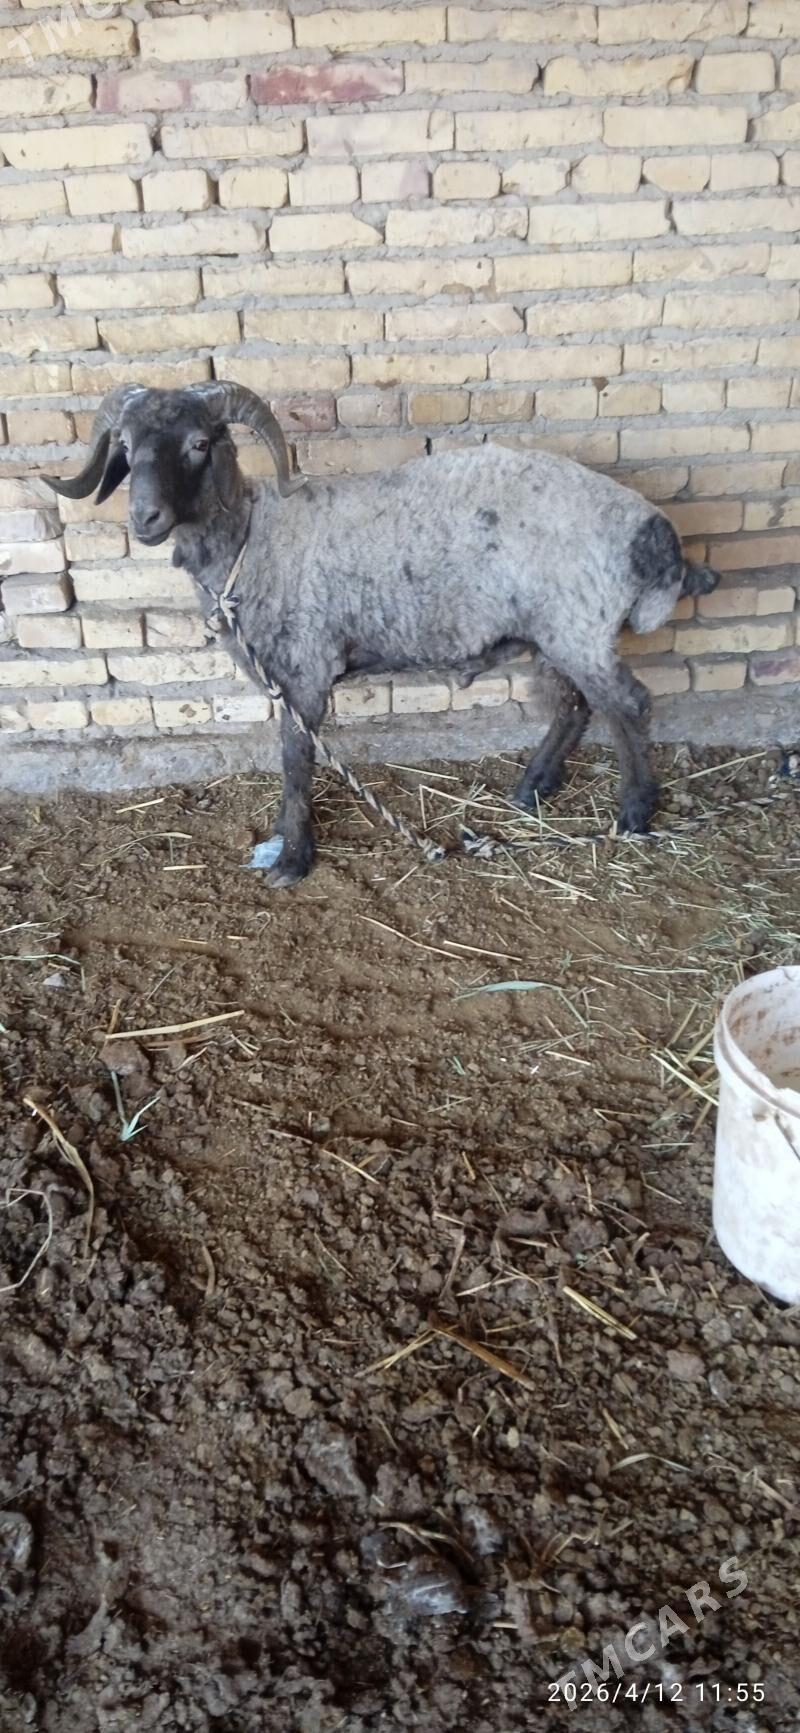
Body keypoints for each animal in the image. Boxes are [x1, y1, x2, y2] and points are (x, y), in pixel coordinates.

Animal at [47, 381, 719, 888]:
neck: (253, 541)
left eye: (199, 443)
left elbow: (295, 758)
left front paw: (293, 859)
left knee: (628, 703)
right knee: (576, 705)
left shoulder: (303, 668)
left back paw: (633, 812)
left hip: (579, 623)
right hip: (554, 630)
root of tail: (654, 531)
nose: (146, 518)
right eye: (125, 445)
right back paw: (531, 790)